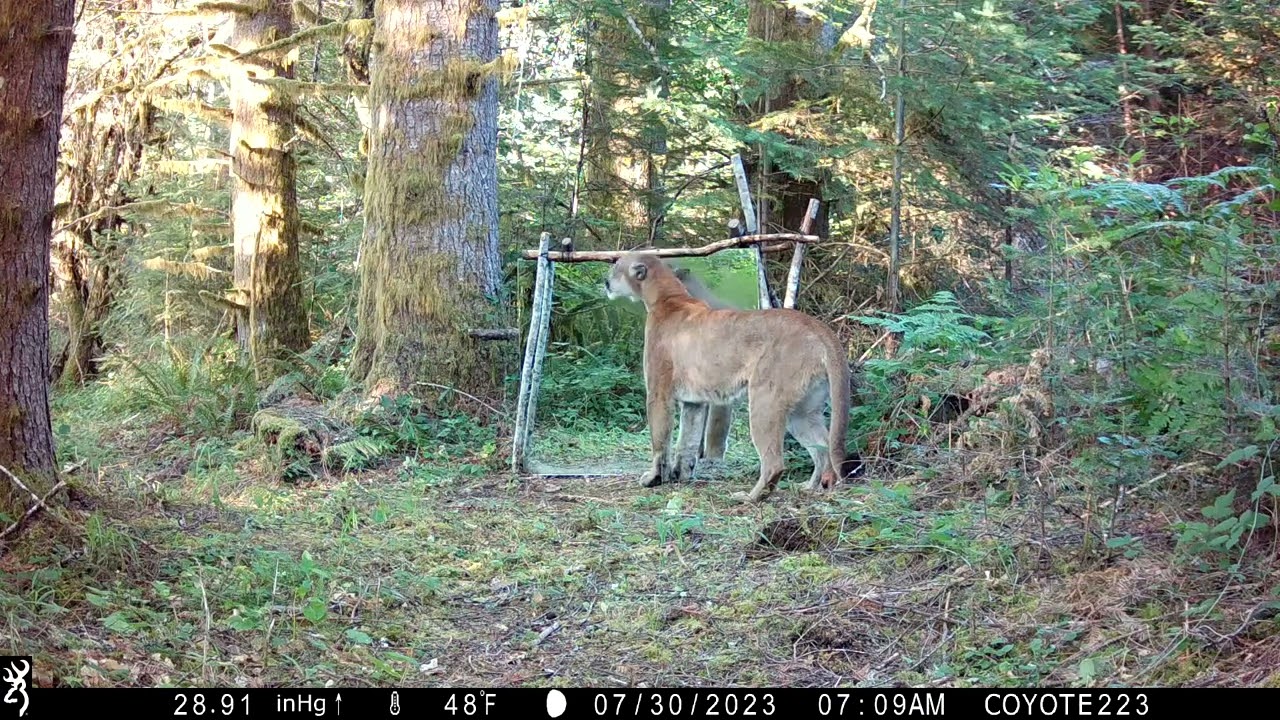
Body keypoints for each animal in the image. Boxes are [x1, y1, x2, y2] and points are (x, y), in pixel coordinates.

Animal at [605, 252, 861, 502]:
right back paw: (813, 487)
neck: (667, 295)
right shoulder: (694, 401)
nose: (605, 282)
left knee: (775, 462)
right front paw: (682, 474)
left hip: (765, 401)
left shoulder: (658, 392)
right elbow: (687, 440)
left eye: (616, 267)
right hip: (802, 411)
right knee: (823, 446)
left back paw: (749, 497)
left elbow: (660, 439)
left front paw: (654, 478)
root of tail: (818, 326)